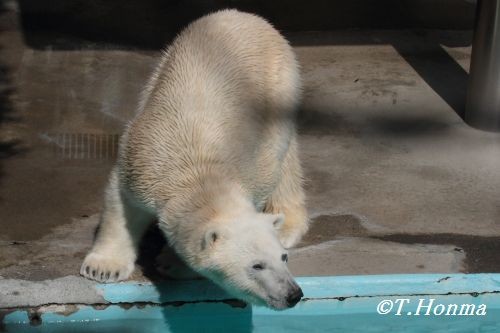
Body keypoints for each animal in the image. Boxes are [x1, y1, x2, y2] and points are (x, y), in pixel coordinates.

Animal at [80, 8, 306, 308]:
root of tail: (247, 15)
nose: (293, 294)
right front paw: (103, 268)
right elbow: (120, 204)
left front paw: (171, 263)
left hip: (279, 83)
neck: (199, 173)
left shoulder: (256, 169)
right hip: (164, 64)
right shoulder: (140, 161)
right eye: (257, 265)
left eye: (283, 258)